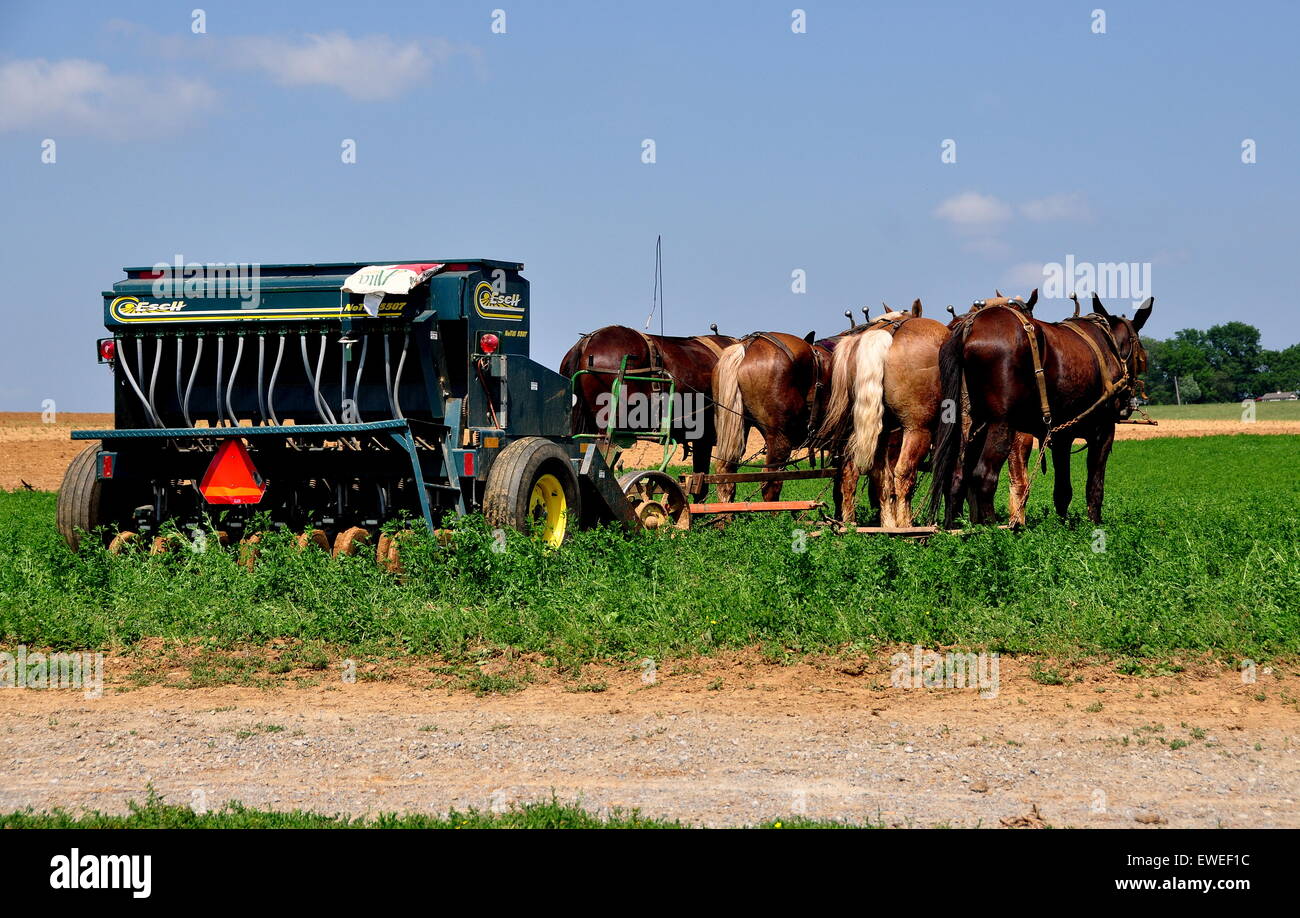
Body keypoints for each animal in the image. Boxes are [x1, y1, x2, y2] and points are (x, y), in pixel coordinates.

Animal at [816, 300, 951, 527]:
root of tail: (885, 335)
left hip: (879, 435)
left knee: (875, 477)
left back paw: (880, 525)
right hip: (918, 430)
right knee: (904, 473)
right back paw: (905, 527)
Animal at [928, 292, 1153, 527]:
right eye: (1140, 350)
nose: (1129, 402)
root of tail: (969, 328)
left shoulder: (1062, 436)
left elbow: (1062, 489)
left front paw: (1064, 524)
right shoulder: (1103, 431)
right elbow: (1094, 485)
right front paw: (1094, 523)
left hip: (969, 426)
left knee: (956, 475)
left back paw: (954, 526)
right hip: (1001, 424)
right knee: (984, 475)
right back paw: (992, 526)